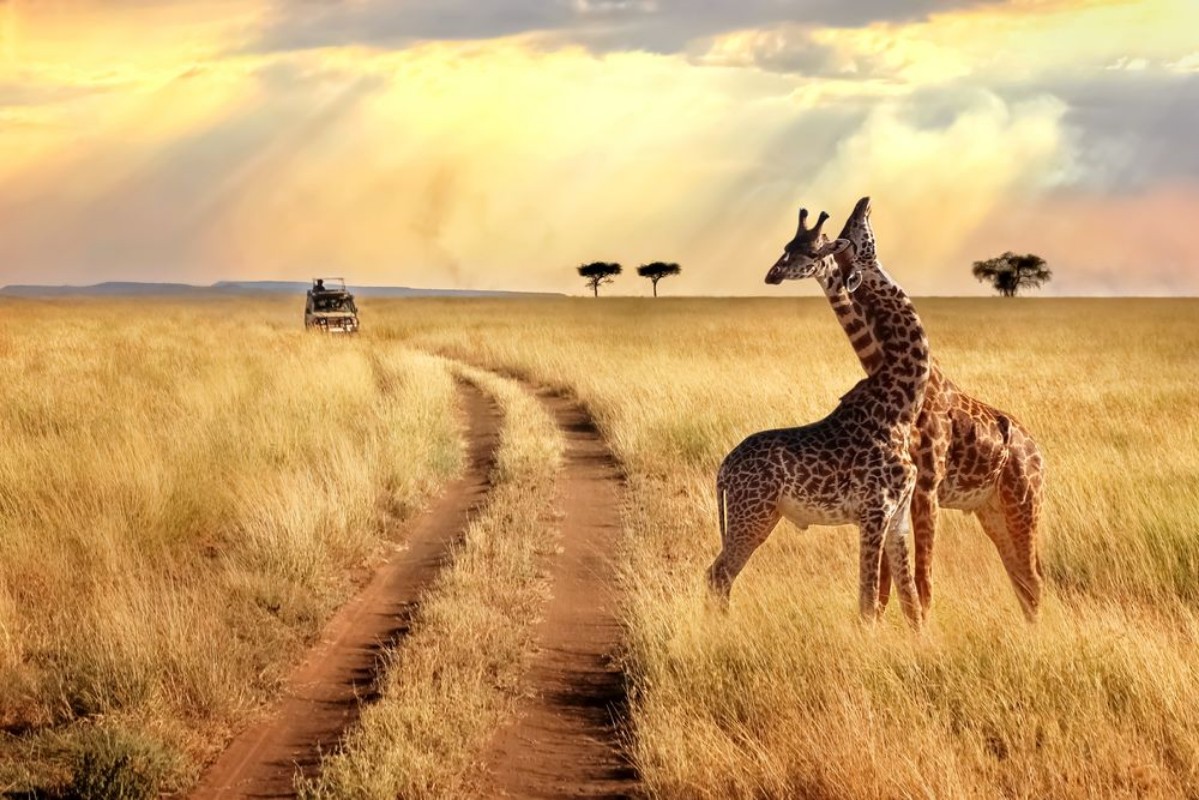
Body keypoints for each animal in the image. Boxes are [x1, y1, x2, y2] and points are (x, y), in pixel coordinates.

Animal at [707, 198, 930, 629]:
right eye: (853, 234)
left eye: (817, 247)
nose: (863, 203)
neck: (901, 404)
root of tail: (724, 468)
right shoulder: (874, 512)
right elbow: (867, 602)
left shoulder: (898, 516)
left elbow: (910, 602)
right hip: (753, 514)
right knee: (719, 574)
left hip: (758, 515)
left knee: (718, 574)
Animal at [764, 197, 1045, 621]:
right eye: (787, 246)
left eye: (814, 249)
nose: (773, 275)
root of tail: (1039, 452)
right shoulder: (900, 493)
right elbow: (889, 584)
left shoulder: (925, 487)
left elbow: (917, 581)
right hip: (991, 510)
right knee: (1022, 579)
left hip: (1024, 505)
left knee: (1033, 579)